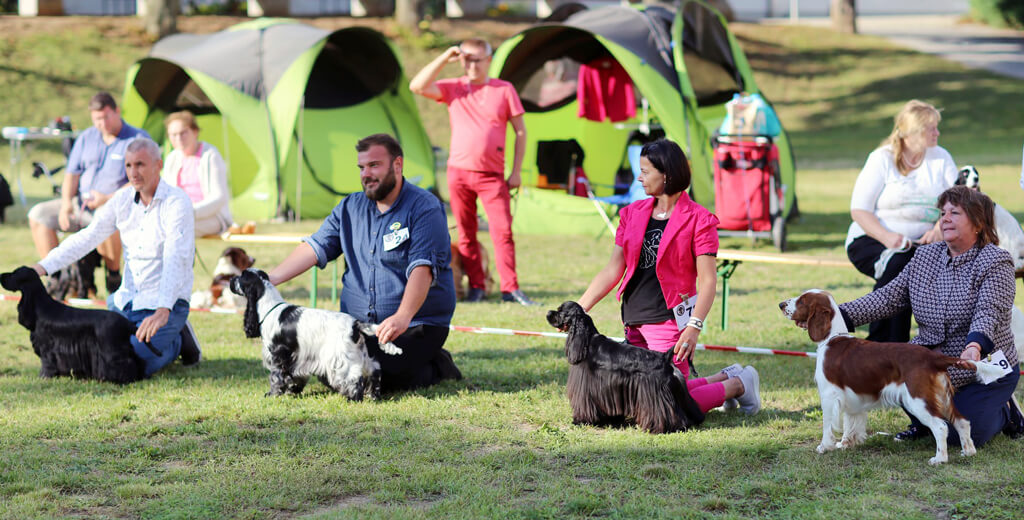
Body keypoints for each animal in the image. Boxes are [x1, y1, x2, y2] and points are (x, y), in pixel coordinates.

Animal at [778, 290, 1003, 464]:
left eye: (802, 300)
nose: (781, 304)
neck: (832, 338)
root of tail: (933, 357)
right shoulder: (851, 397)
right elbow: (851, 422)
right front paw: (846, 444)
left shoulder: (828, 395)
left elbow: (827, 425)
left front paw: (824, 447)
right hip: (943, 396)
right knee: (962, 421)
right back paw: (968, 452)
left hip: (917, 399)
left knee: (940, 426)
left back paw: (939, 459)